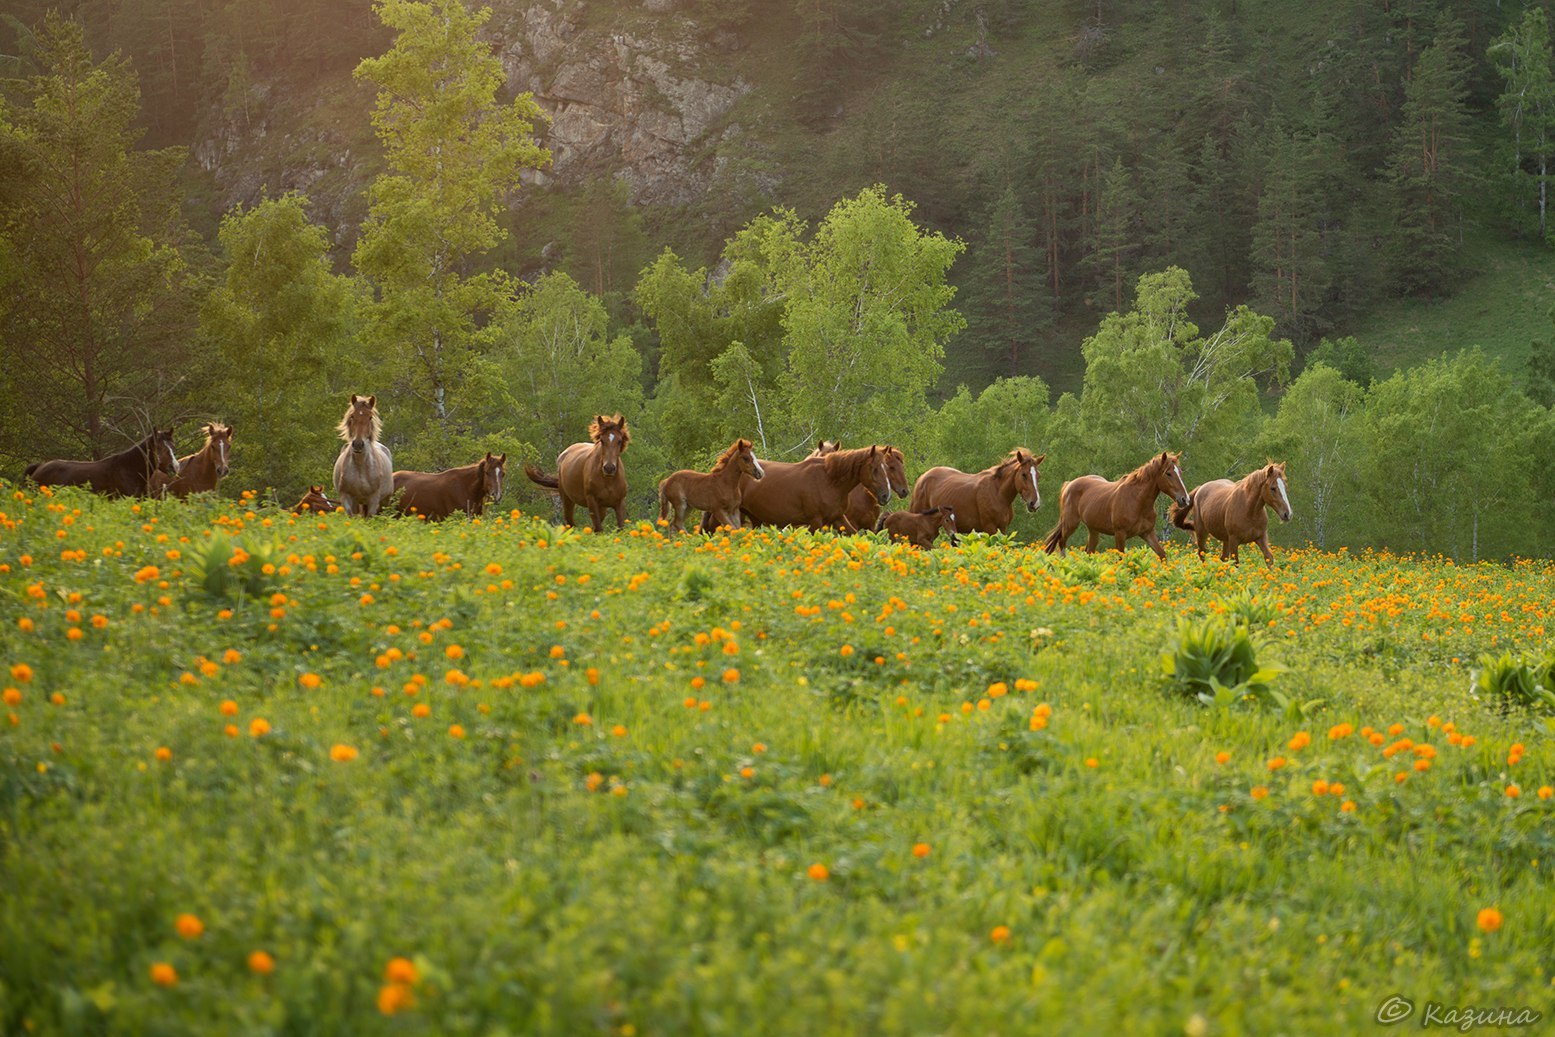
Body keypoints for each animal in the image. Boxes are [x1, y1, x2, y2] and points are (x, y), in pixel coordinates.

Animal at [727, 441, 889, 531]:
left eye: (886, 467)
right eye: (874, 469)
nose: (886, 495)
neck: (829, 480)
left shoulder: (838, 518)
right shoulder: (815, 522)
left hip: (755, 519)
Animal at [908, 447, 1044, 534]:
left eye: (1038, 476)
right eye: (1024, 475)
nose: (1035, 503)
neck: (998, 493)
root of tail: (922, 478)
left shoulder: (1003, 529)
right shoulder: (990, 528)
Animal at [1044, 450, 1188, 556]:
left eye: (1180, 472)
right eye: (1168, 473)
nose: (1184, 499)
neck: (1137, 502)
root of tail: (1069, 484)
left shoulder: (1147, 533)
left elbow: (1162, 555)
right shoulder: (1120, 534)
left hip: (1093, 529)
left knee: (1089, 551)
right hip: (1070, 524)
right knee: (1062, 543)